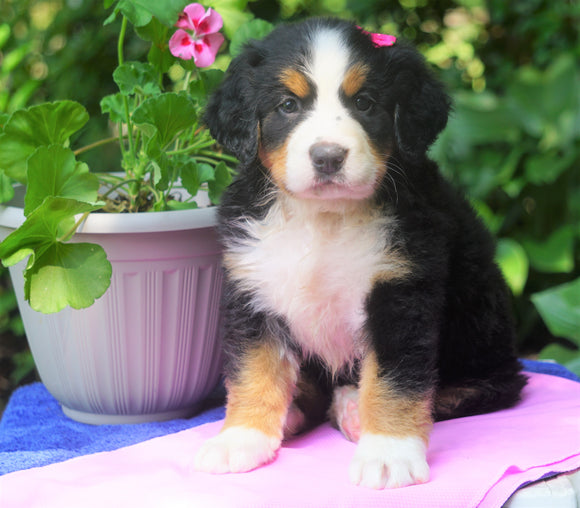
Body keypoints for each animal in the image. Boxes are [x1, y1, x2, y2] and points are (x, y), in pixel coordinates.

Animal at [194, 18, 524, 488]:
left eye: (365, 103)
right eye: (288, 105)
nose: (328, 157)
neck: (324, 219)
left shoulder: (399, 290)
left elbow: (394, 381)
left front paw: (388, 453)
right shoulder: (253, 288)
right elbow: (254, 370)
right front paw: (240, 438)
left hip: (484, 339)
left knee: (468, 390)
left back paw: (352, 409)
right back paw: (296, 410)